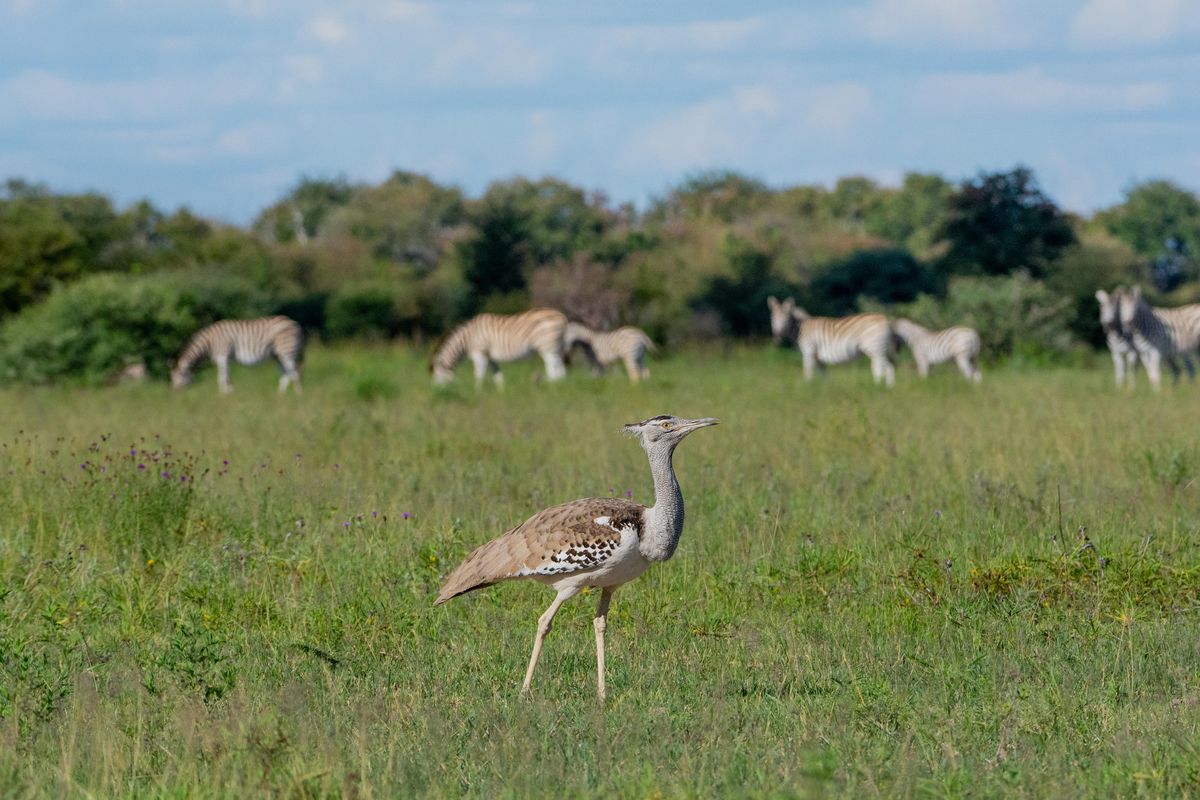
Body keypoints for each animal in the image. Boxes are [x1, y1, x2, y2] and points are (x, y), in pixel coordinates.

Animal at [171, 316, 303, 395]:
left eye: (178, 377)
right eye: (171, 378)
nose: (174, 393)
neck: (210, 342)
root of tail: (294, 322)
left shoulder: (222, 356)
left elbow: (221, 378)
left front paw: (222, 395)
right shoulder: (227, 359)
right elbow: (228, 377)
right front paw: (231, 392)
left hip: (286, 351)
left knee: (294, 373)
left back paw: (298, 395)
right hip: (278, 355)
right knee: (286, 373)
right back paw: (280, 396)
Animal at [430, 308, 568, 388]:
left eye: (437, 377)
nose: (437, 391)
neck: (467, 340)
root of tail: (561, 316)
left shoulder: (480, 353)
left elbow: (479, 374)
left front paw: (477, 392)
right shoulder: (491, 358)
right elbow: (498, 377)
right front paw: (501, 394)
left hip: (547, 347)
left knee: (554, 371)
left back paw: (547, 385)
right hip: (555, 347)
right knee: (561, 371)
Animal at [767, 296, 895, 386]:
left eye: (786, 318)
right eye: (773, 317)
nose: (778, 334)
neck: (800, 329)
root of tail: (885, 319)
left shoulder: (809, 351)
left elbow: (808, 371)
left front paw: (806, 387)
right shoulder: (817, 357)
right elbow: (824, 374)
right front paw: (826, 390)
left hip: (874, 348)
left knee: (879, 369)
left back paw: (877, 387)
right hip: (880, 350)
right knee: (889, 367)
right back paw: (888, 389)